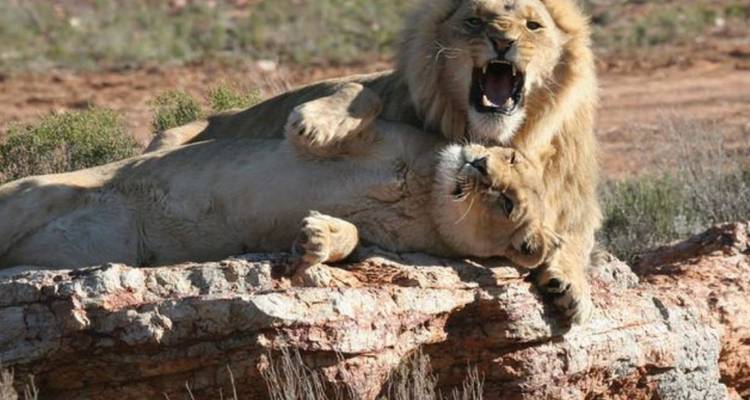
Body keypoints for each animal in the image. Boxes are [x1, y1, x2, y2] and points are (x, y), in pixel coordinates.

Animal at [0, 121, 559, 281]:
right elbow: (351, 110)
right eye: (509, 155)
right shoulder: (385, 135)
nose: (478, 165)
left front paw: (315, 240)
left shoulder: (387, 245)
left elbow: (352, 238)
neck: (426, 195)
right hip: (25, 197)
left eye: (508, 204)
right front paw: (314, 128)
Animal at [146, 0, 600, 323]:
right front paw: (314, 124)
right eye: (475, 21)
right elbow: (361, 92)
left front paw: (569, 287)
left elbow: (575, 232)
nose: (503, 41)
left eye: (532, 26)